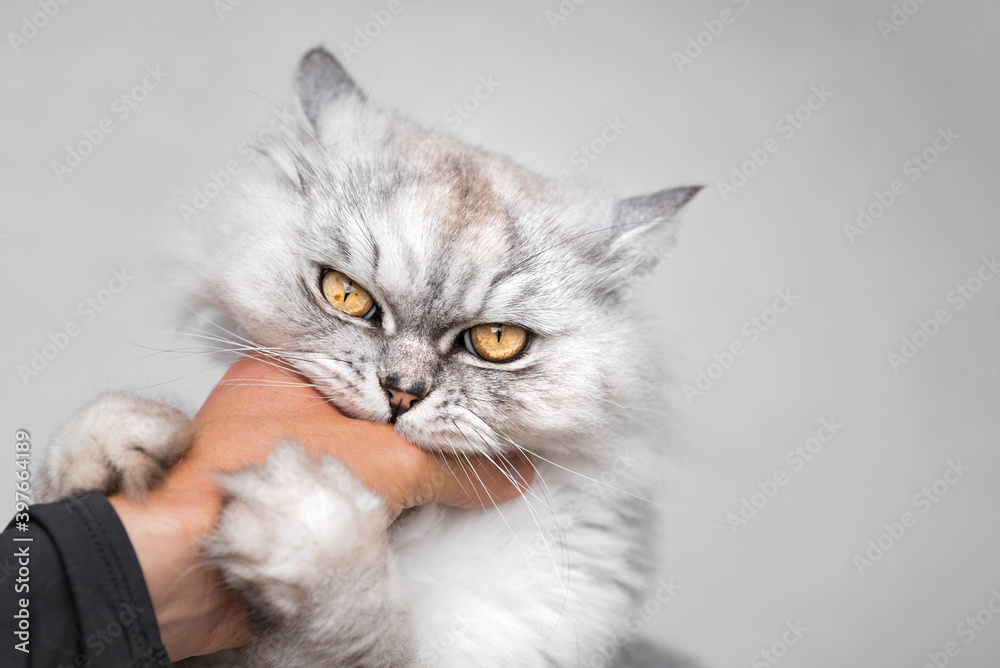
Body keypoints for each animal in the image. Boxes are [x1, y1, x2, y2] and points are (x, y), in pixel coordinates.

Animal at [39, 48, 704, 668]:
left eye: (497, 342)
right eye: (346, 295)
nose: (402, 392)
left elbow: (365, 629)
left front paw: (307, 524)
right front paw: (110, 449)